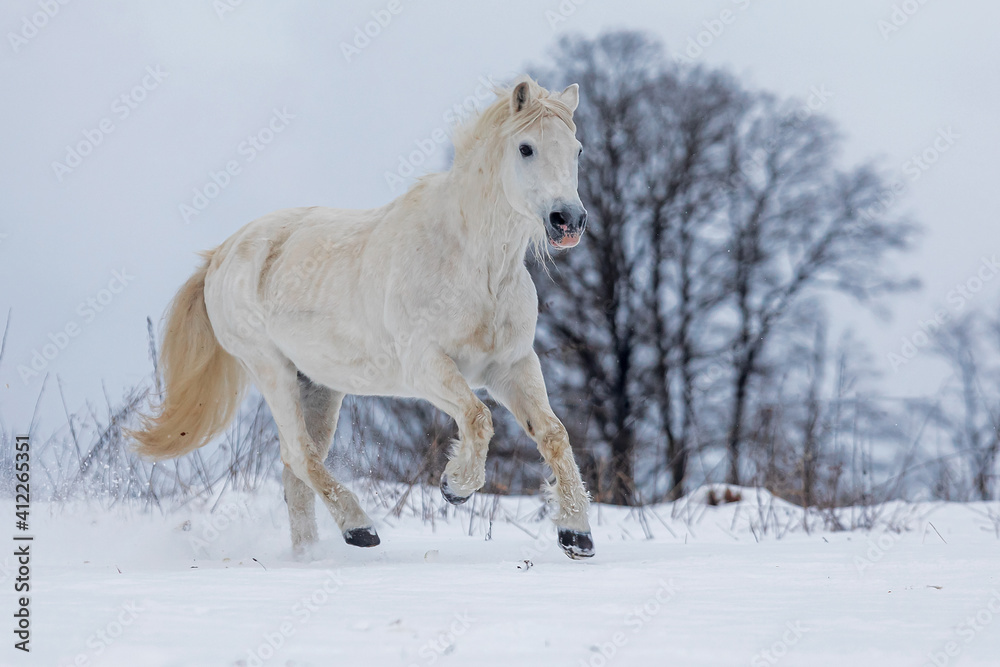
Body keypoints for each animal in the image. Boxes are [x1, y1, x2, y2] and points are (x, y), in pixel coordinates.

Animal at [131, 77, 594, 559]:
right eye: (526, 148)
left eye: (577, 150)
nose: (568, 221)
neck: (472, 264)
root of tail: (221, 253)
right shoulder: (425, 366)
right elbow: (478, 417)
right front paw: (456, 487)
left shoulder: (512, 366)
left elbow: (553, 433)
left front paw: (576, 535)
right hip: (270, 369)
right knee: (299, 455)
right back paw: (359, 528)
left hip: (318, 386)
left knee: (296, 473)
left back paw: (309, 556)